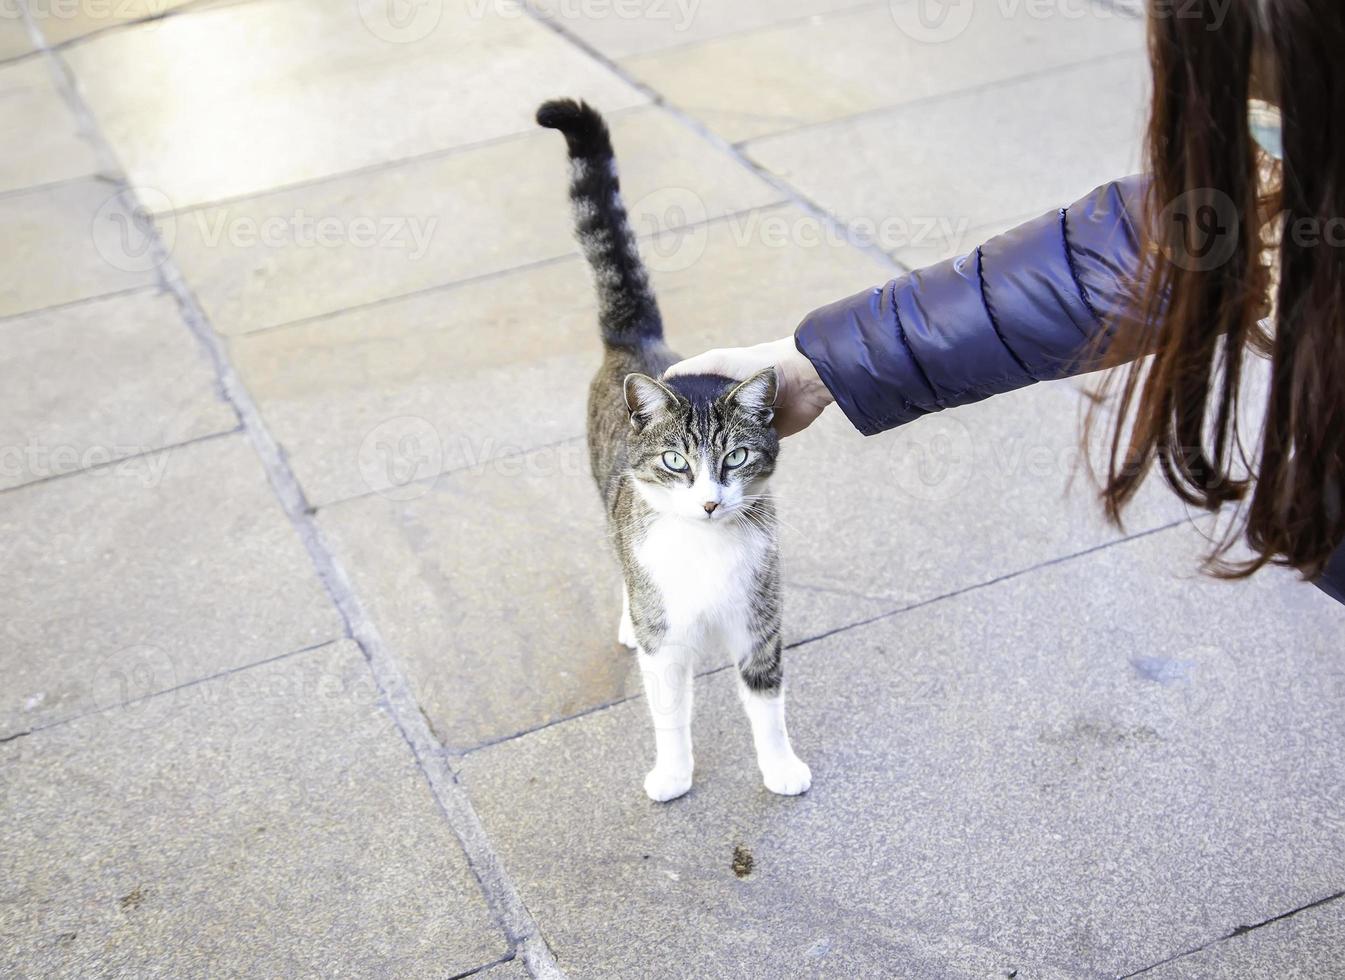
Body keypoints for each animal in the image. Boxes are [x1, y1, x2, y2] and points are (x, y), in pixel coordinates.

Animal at [535, 99, 807, 801]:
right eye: (676, 462)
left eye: (735, 458)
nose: (710, 503)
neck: (704, 551)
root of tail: (636, 339)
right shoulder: (667, 640)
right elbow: (669, 711)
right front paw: (673, 774)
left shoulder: (759, 618)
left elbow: (767, 702)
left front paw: (780, 768)